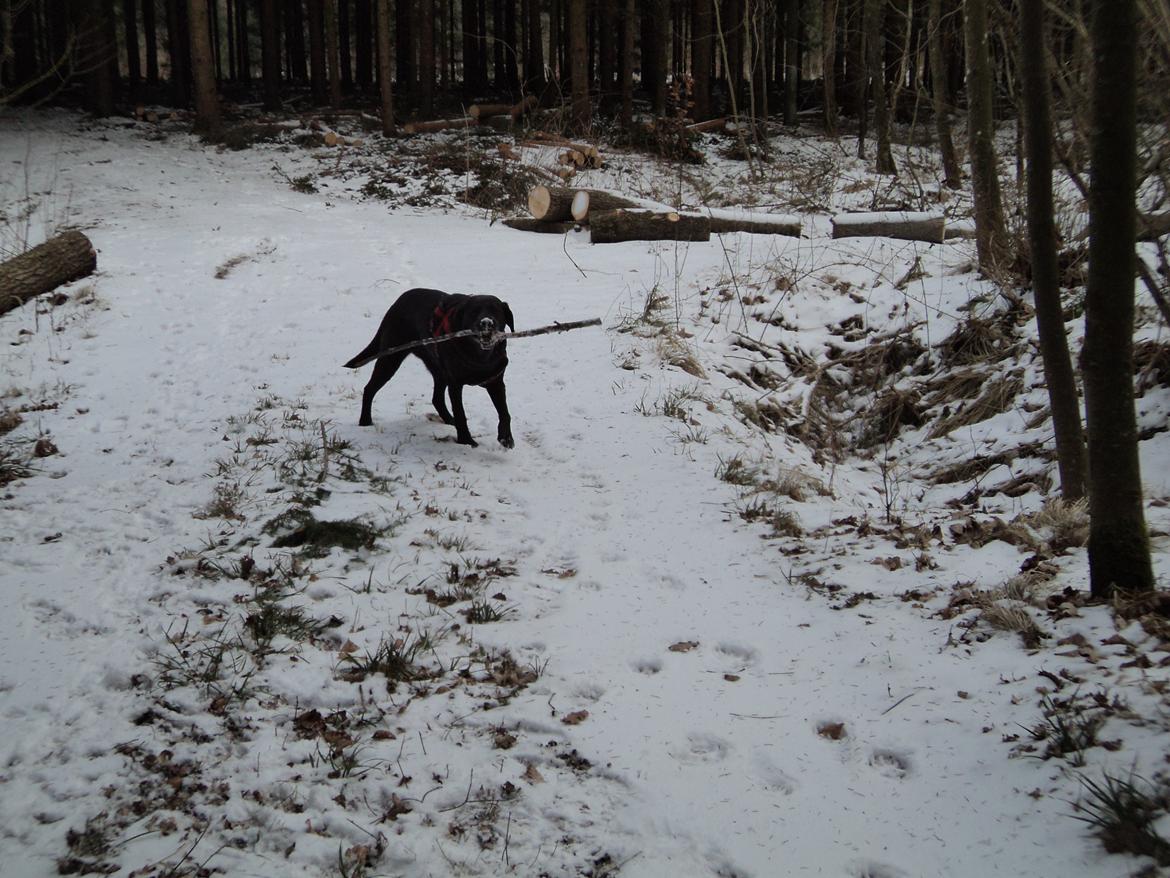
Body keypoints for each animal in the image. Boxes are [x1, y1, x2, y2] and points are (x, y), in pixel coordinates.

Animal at [341, 289, 517, 449]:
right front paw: (466, 441)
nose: (486, 323)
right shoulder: (455, 384)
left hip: (438, 370)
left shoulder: (496, 382)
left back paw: (449, 420)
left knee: (436, 398)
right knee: (369, 388)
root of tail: (399, 301)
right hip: (390, 358)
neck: (480, 356)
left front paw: (506, 438)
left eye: (496, 311)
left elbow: (505, 413)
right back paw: (365, 422)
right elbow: (461, 414)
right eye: (474, 312)